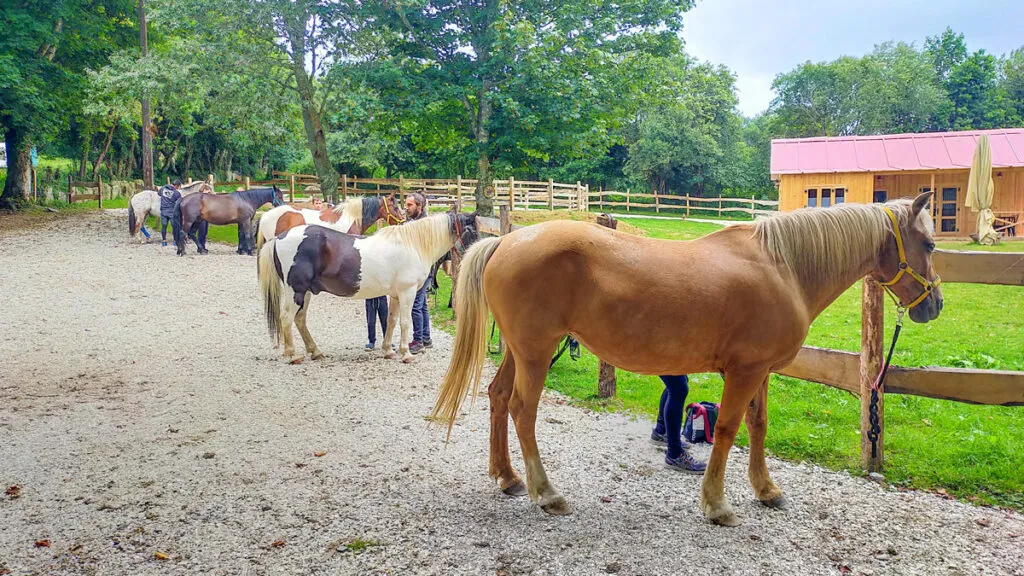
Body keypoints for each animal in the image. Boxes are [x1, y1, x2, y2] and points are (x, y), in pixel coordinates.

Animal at [258, 212, 479, 364]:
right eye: (472, 231)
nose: (476, 257)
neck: (413, 245)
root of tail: (279, 238)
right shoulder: (407, 292)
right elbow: (405, 322)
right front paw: (406, 354)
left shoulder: (396, 295)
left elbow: (391, 321)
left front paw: (388, 351)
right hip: (295, 291)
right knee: (287, 318)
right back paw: (292, 355)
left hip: (306, 292)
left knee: (300, 319)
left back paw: (315, 352)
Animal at [431, 193, 943, 527]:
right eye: (930, 245)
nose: (934, 305)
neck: (783, 268)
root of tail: (504, 242)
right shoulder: (744, 372)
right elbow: (730, 430)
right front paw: (717, 504)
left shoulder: (760, 372)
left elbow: (758, 426)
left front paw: (766, 490)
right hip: (536, 354)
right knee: (522, 410)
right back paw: (546, 493)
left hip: (521, 353)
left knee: (498, 398)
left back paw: (507, 478)